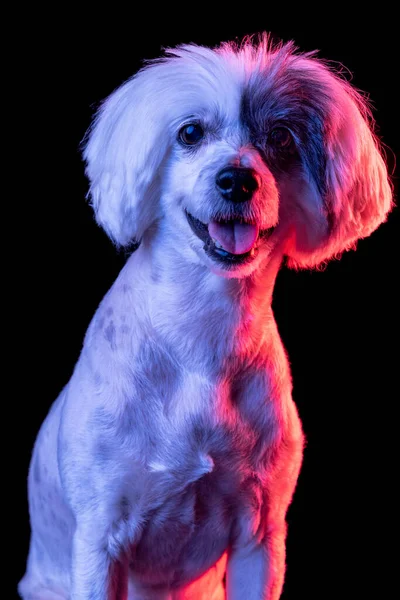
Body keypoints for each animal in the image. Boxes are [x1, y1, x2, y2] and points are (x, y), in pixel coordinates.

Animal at [18, 35, 390, 596]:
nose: (237, 179)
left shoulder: (260, 537)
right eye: (190, 133)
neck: (204, 333)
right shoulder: (100, 540)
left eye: (280, 137)